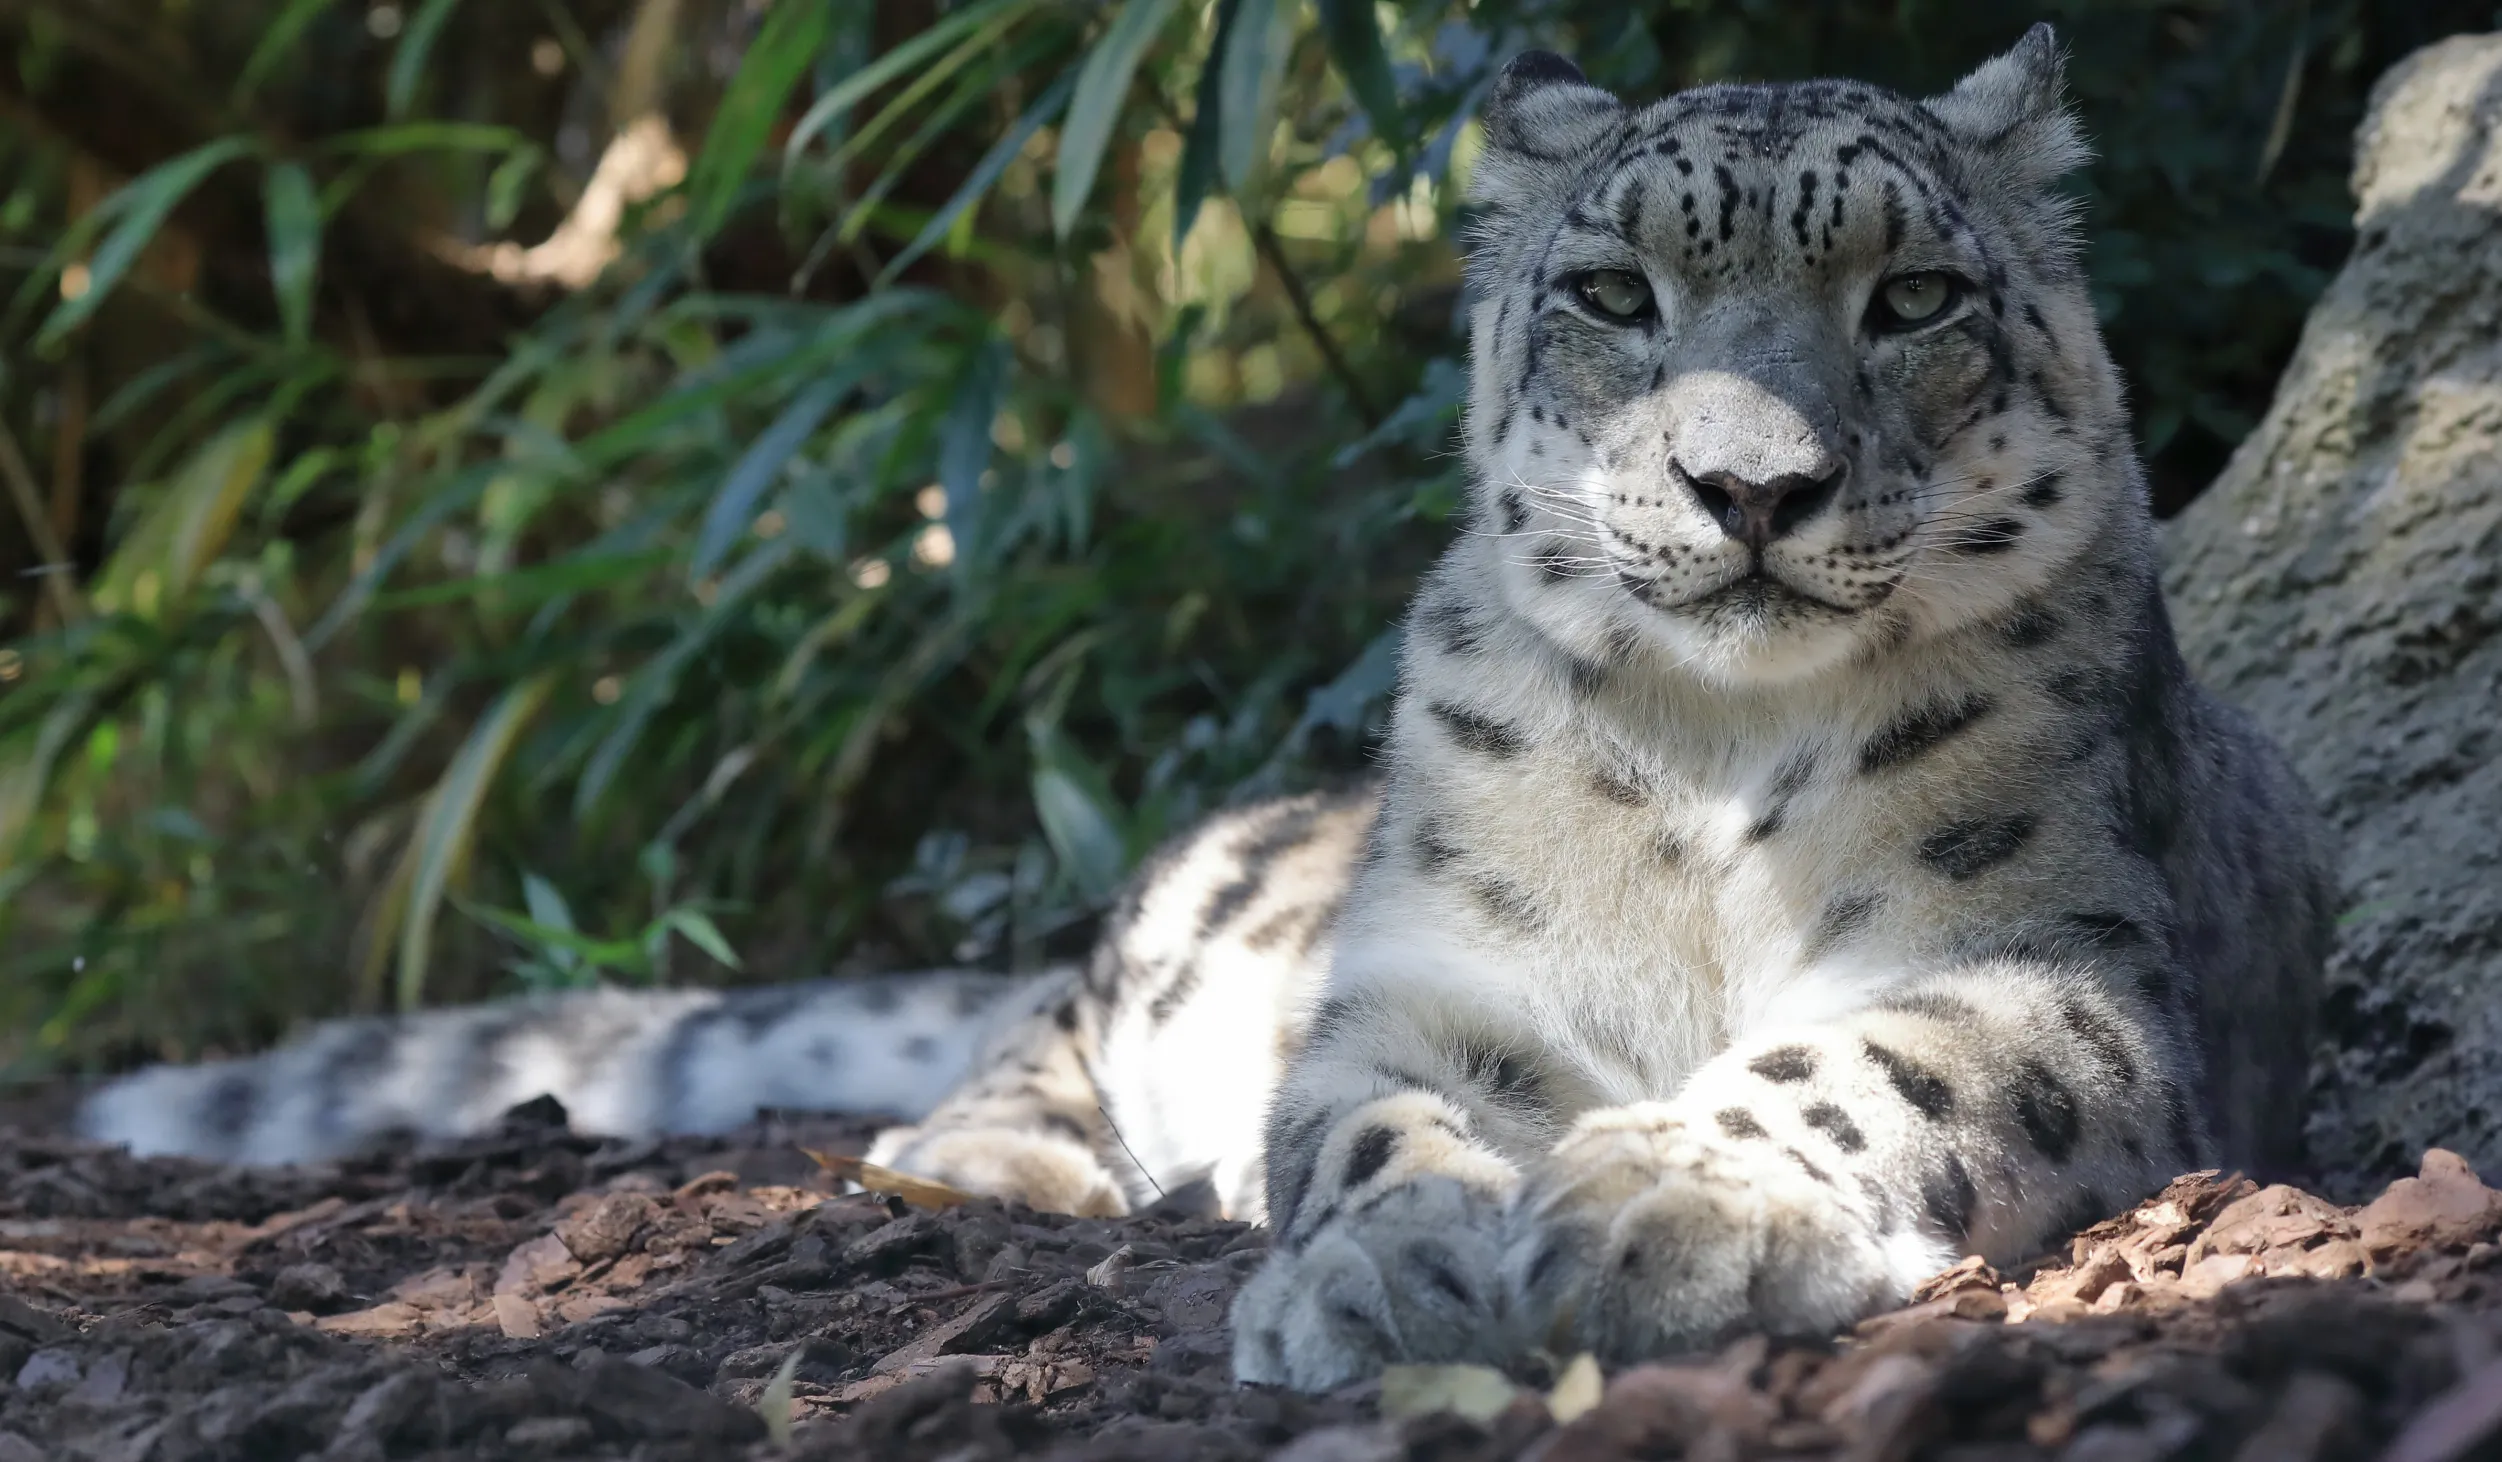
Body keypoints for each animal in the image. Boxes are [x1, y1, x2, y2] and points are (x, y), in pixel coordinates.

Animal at [83, 20, 2341, 1391]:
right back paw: (1009, 1163)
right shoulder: (1438, 982)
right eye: (1616, 292)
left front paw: (1663, 1210)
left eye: (1915, 296)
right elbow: (1372, 1122)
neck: (1710, 762)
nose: (1750, 488)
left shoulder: (2038, 960)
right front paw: (1387, 1261)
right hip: (1170, 925)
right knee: (1033, 1020)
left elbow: (1859, 1065)